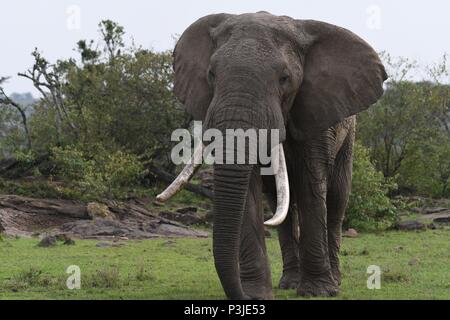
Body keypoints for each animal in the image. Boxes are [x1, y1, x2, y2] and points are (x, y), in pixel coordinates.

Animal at [156, 10, 386, 300]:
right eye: (211, 74)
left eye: (284, 78)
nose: (242, 296)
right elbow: (251, 189)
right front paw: (257, 295)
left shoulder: (315, 111)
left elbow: (312, 183)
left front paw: (318, 292)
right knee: (280, 203)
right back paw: (289, 282)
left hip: (349, 135)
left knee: (336, 200)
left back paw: (334, 280)